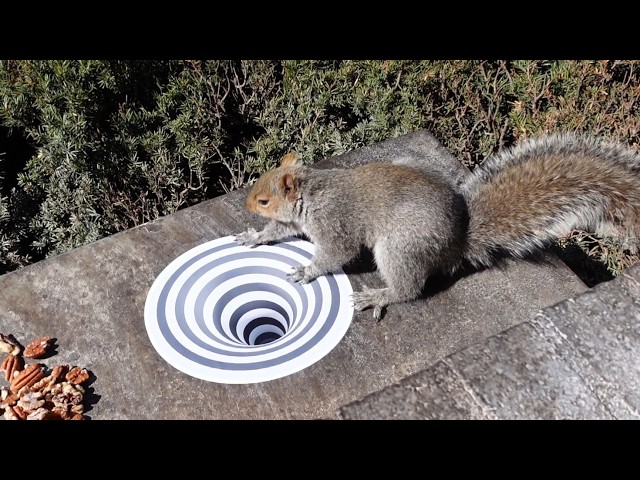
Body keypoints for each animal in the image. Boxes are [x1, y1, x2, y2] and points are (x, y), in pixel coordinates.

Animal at [236, 132, 640, 321]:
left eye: (264, 200)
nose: (246, 205)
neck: (312, 192)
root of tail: (457, 242)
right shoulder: (294, 221)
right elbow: (277, 232)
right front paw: (253, 236)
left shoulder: (334, 223)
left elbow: (336, 252)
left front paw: (306, 270)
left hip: (399, 247)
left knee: (410, 288)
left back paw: (379, 296)